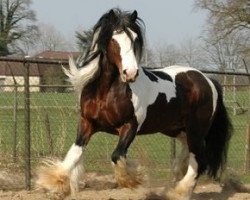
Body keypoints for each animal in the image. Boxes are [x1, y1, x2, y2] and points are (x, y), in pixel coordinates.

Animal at [36, 8, 231, 200]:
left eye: (135, 39)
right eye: (114, 39)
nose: (130, 73)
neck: (105, 92)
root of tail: (208, 80)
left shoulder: (130, 126)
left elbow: (117, 156)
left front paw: (134, 180)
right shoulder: (87, 123)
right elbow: (74, 154)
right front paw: (54, 184)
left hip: (196, 130)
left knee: (198, 161)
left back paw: (180, 192)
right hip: (178, 129)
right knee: (187, 156)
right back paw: (175, 187)